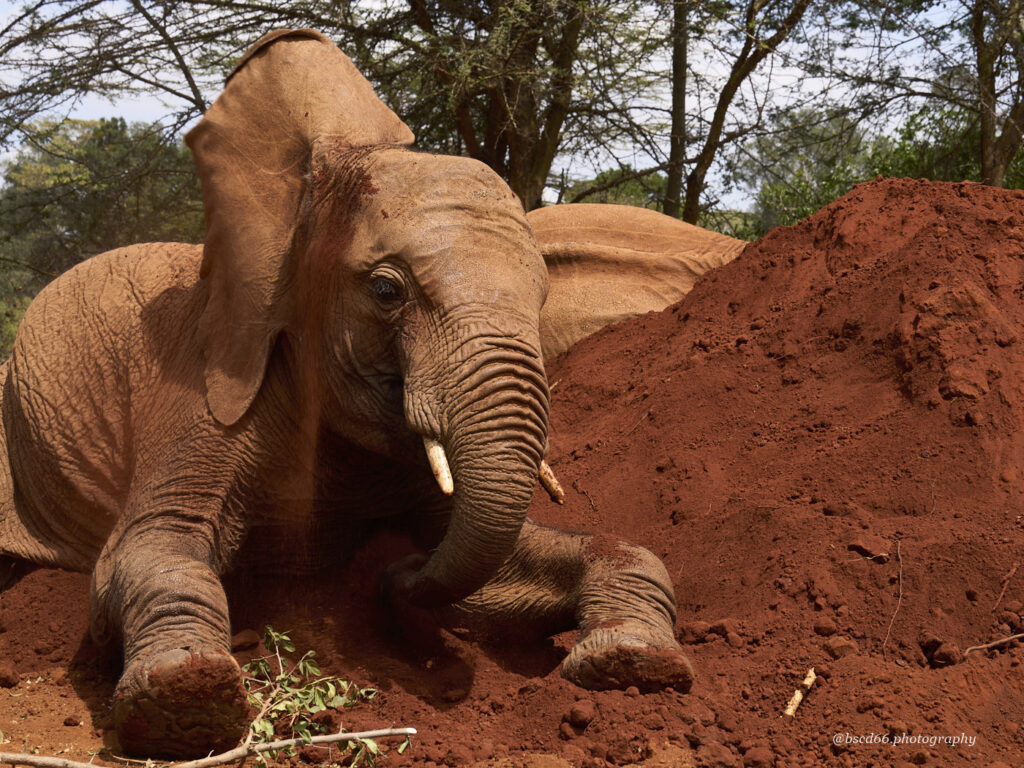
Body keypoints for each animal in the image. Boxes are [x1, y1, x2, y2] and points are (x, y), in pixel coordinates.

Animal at [0, 29, 716, 759]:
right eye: (386, 290)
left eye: (543, 300)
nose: (392, 574)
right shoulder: (202, 398)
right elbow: (150, 552)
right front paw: (189, 701)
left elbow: (520, 557)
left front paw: (631, 663)